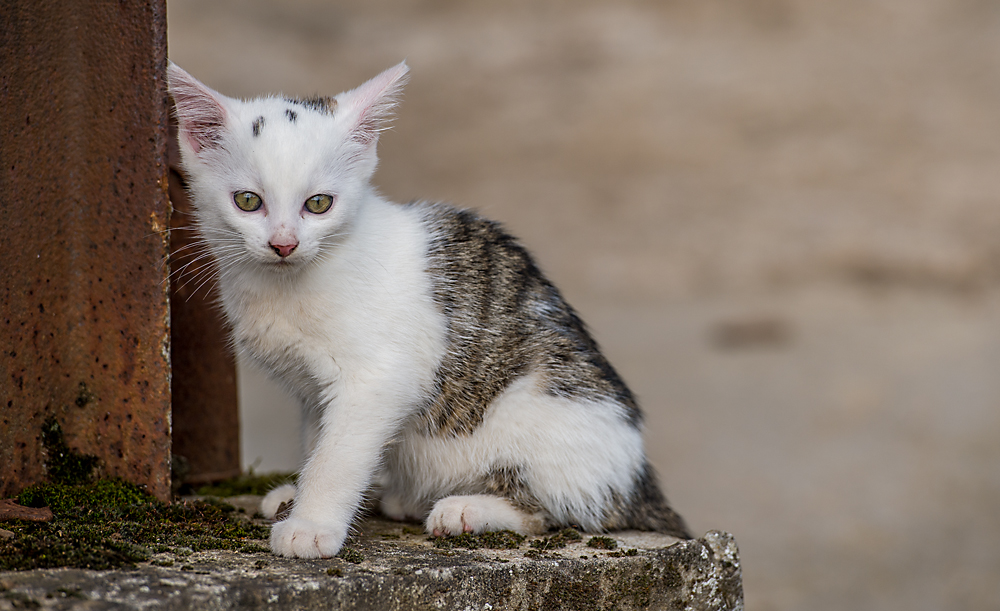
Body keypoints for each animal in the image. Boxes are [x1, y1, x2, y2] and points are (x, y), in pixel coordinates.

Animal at [168, 58, 692, 560]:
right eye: (248, 201)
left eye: (318, 204)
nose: (283, 243)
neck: (286, 282)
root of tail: (639, 484)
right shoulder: (312, 390)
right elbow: (319, 439)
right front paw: (297, 495)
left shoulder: (379, 378)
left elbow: (339, 455)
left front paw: (310, 525)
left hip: (541, 417)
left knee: (558, 513)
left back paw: (466, 509)